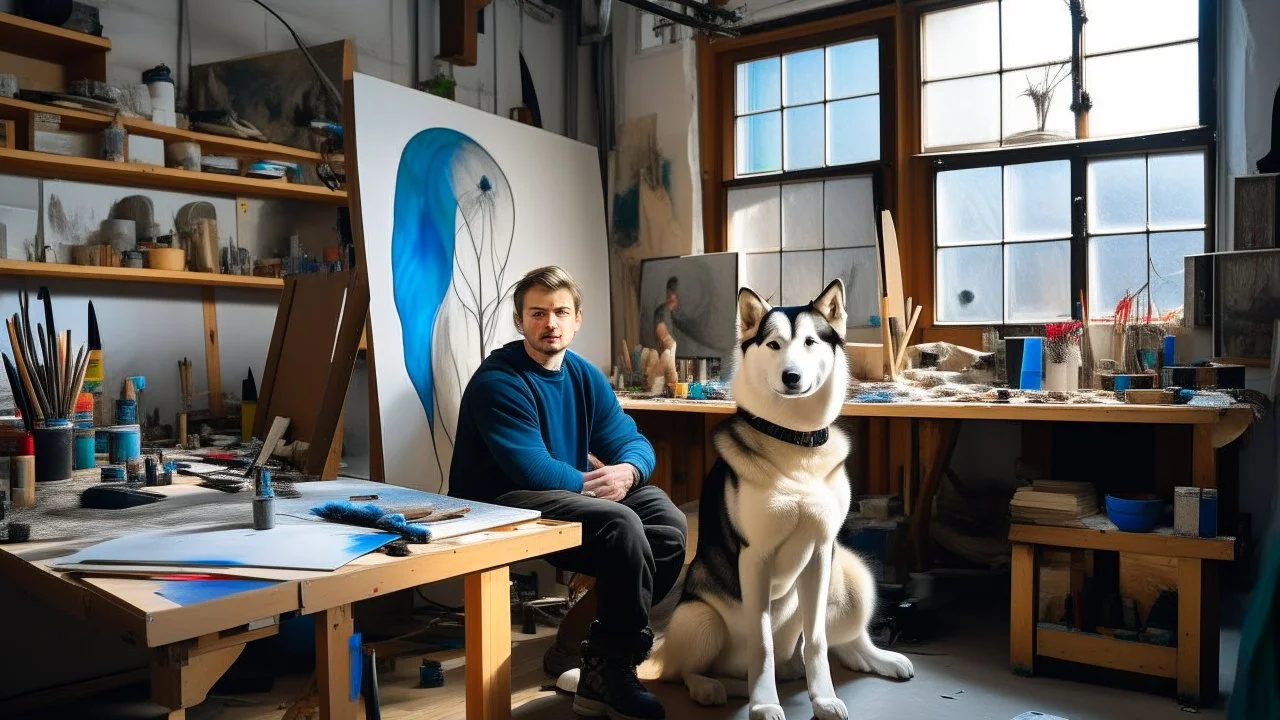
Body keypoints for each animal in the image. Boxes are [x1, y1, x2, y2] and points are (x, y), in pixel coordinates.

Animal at [655, 279, 916, 717]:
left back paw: (878, 658)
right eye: (774, 344)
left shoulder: (823, 550)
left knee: (845, 643)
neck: (796, 440)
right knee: (683, 671)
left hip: (851, 576)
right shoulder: (755, 557)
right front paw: (763, 704)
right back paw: (714, 687)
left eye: (810, 342)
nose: (791, 377)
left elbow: (819, 641)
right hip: (699, 618)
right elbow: (761, 645)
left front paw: (823, 698)